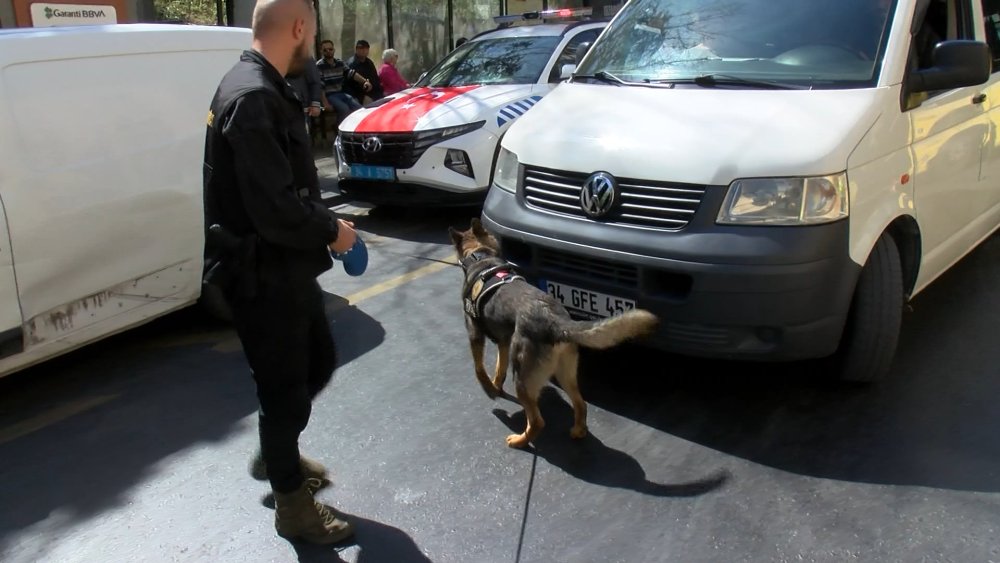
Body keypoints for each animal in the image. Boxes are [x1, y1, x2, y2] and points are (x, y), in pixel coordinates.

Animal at [450, 219, 660, 450]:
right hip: (564, 372)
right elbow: (499, 368)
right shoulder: (504, 343)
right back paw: (578, 431)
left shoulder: (474, 333)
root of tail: (555, 323)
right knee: (580, 403)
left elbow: (479, 369)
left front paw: (489, 389)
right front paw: (496, 386)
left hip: (523, 378)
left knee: (537, 421)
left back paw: (520, 440)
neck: (480, 255)